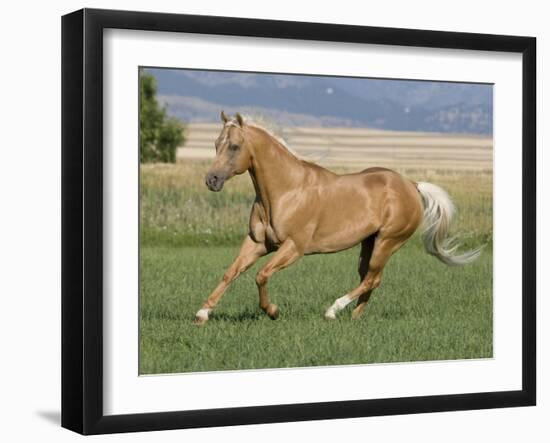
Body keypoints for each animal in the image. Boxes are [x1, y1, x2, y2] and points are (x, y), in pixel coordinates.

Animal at [195, 112, 484, 324]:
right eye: (216, 144)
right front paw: (202, 313)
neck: (286, 191)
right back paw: (355, 317)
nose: (212, 180)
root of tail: (412, 185)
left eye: (234, 146)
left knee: (372, 278)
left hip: (388, 241)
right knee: (370, 278)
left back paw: (333, 311)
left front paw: (273, 311)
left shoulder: (293, 247)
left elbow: (261, 275)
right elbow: (231, 272)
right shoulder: (258, 243)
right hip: (369, 242)